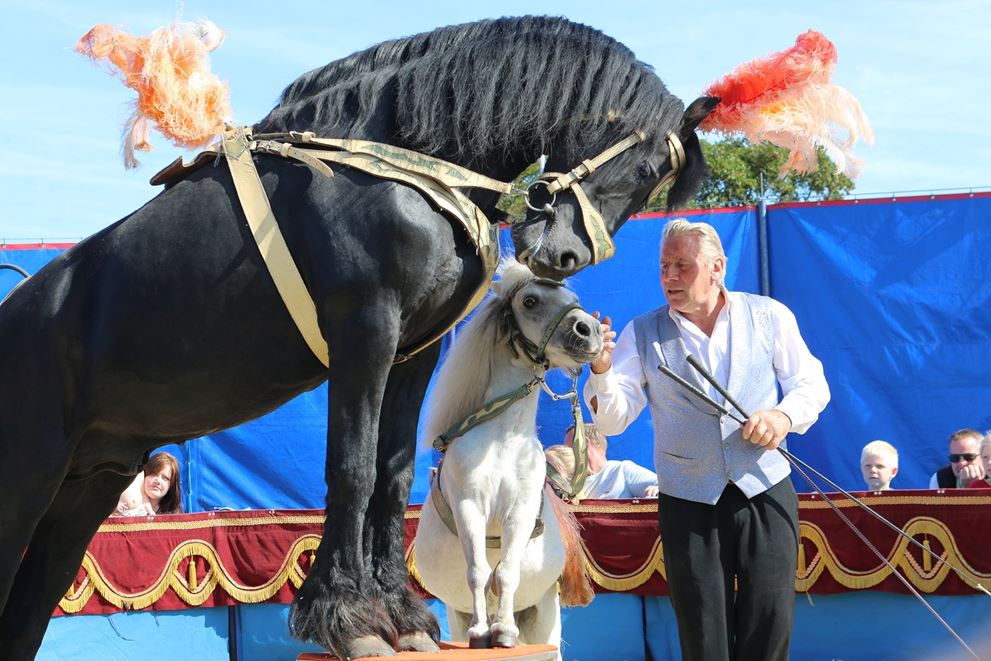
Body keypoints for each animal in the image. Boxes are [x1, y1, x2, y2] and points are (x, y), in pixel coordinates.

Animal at [412, 260, 596, 652]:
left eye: (572, 298)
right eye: (530, 300)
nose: (589, 331)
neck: (503, 440)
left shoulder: (521, 509)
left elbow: (506, 572)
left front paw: (504, 631)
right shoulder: (469, 505)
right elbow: (480, 572)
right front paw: (483, 632)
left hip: (546, 617)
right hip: (456, 614)